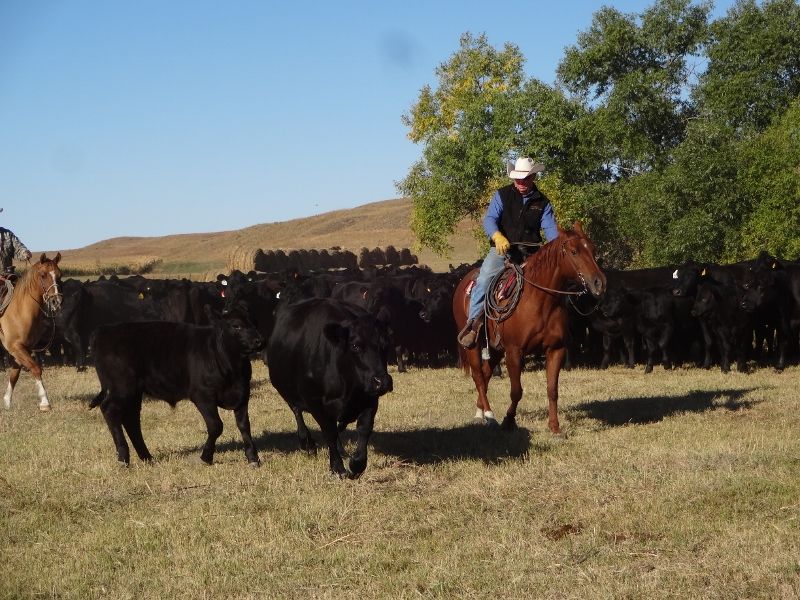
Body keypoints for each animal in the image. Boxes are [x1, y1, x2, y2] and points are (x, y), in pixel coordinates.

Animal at [1, 253, 63, 411]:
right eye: (43, 275)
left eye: (60, 275)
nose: (56, 302)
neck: (20, 310)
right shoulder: (15, 347)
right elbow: (36, 368)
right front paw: (45, 402)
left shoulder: (24, 348)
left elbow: (14, 374)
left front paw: (7, 401)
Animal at [89, 306, 265, 466]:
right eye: (236, 326)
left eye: (255, 323)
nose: (259, 341)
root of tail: (104, 330)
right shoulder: (202, 395)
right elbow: (216, 426)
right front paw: (205, 458)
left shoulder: (243, 394)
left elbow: (244, 425)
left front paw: (253, 458)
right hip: (121, 387)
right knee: (110, 410)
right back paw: (123, 458)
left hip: (134, 392)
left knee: (131, 418)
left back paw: (147, 457)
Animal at [267, 298, 393, 478]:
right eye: (355, 346)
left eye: (386, 344)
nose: (381, 381)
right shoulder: (315, 402)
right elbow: (329, 432)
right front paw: (337, 467)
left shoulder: (369, 399)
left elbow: (364, 429)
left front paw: (356, 464)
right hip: (287, 391)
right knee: (297, 412)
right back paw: (307, 444)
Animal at [452, 222, 605, 433]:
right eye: (574, 252)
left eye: (593, 249)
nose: (599, 283)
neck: (541, 301)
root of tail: (463, 283)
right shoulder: (514, 352)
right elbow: (516, 391)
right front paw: (508, 421)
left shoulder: (555, 350)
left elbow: (552, 390)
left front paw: (555, 427)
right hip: (473, 346)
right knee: (478, 376)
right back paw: (489, 415)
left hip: (495, 349)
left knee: (486, 373)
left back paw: (480, 412)